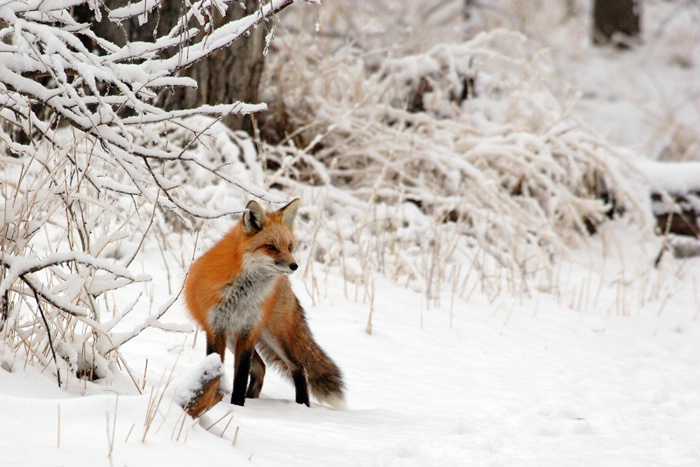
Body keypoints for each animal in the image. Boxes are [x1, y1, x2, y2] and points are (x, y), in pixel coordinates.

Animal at [182, 199, 344, 414]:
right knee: (262, 368)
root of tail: (286, 285)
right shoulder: (216, 327)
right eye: (270, 247)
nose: (294, 266)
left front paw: (237, 406)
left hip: (275, 336)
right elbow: (218, 365)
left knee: (299, 367)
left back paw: (302, 407)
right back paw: (253, 399)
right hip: (235, 338)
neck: (241, 294)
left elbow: (241, 375)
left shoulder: (248, 330)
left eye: (289, 247)